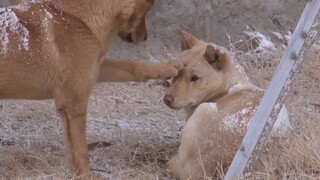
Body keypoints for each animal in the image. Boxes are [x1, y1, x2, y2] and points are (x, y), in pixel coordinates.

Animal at [0, 0, 184, 179]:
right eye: (148, 8)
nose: (145, 37)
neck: (81, 20)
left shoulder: (96, 69)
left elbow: (133, 66)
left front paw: (167, 67)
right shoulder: (75, 106)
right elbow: (81, 151)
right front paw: (87, 175)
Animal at [164, 31, 292, 179]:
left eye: (195, 78)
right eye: (177, 73)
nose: (166, 99)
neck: (228, 88)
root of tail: (199, 170)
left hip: (204, 109)